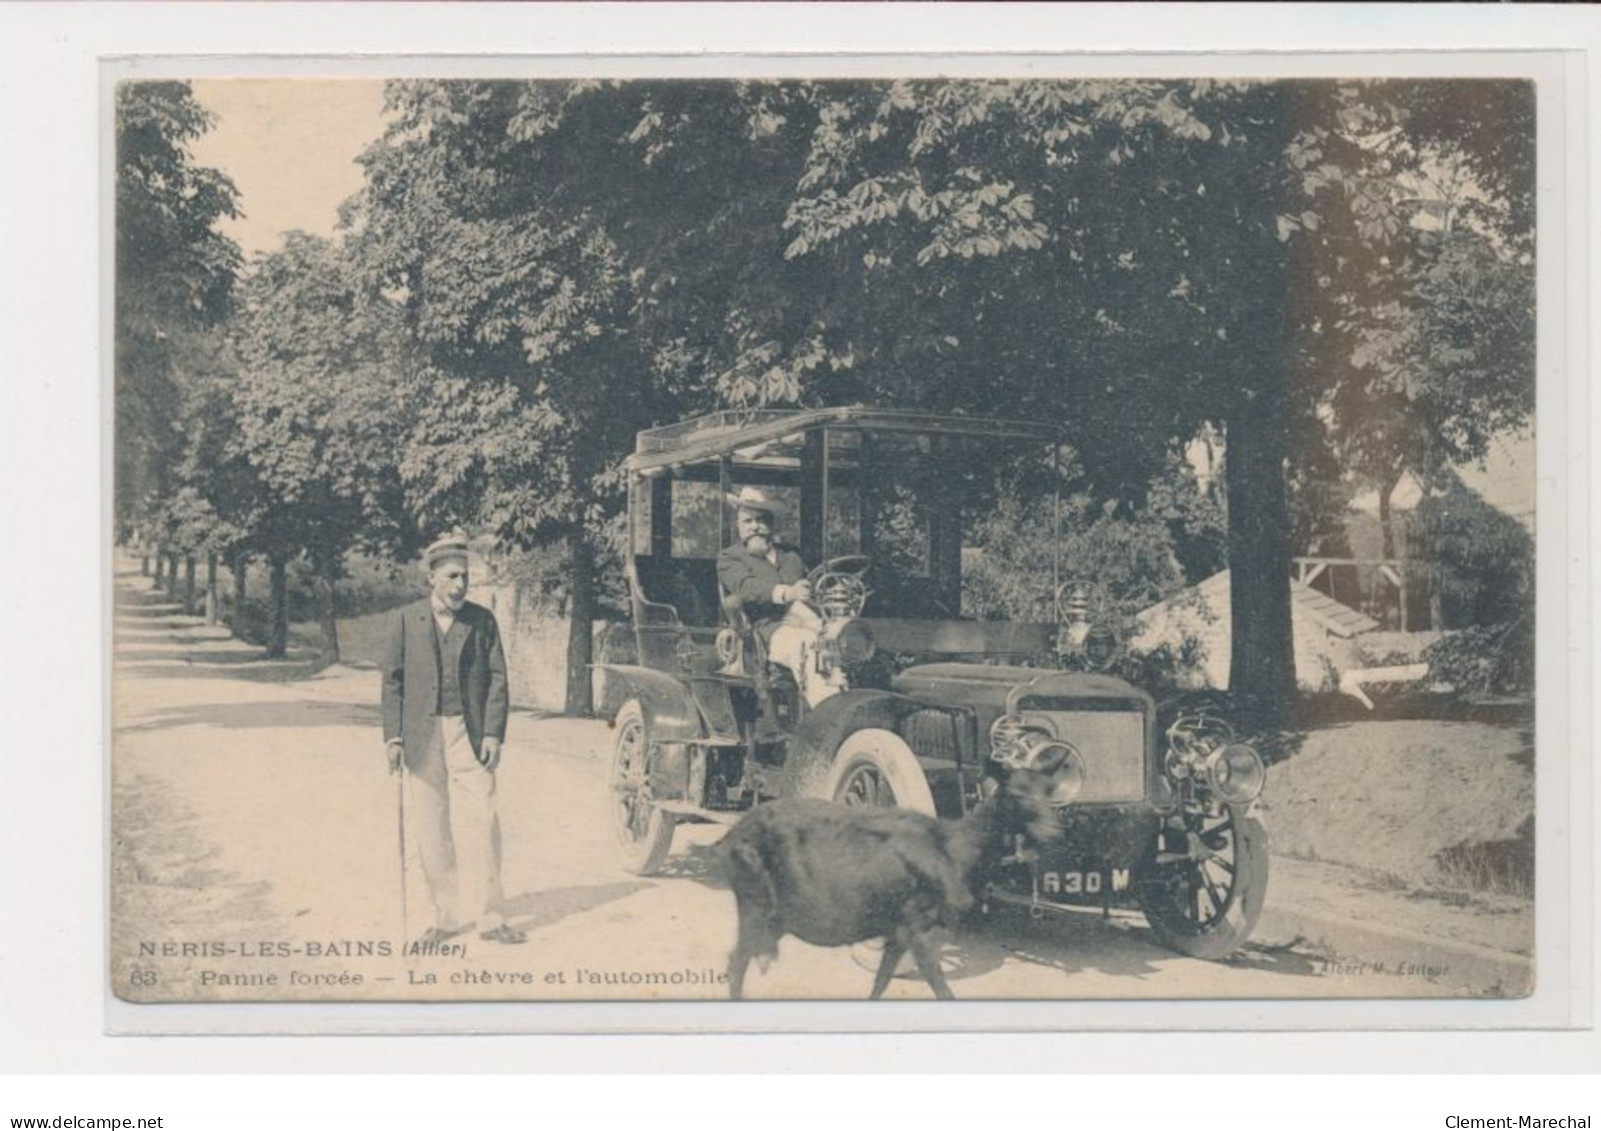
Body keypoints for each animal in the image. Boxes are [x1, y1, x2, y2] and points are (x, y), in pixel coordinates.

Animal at [720, 775, 1056, 993]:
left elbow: (880, 982)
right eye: (1016, 794)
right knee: (735, 963)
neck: (954, 847)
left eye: (1050, 791)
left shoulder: (897, 933)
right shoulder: (919, 930)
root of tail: (733, 834)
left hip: (775, 917)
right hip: (755, 905)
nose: (1054, 830)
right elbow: (941, 987)